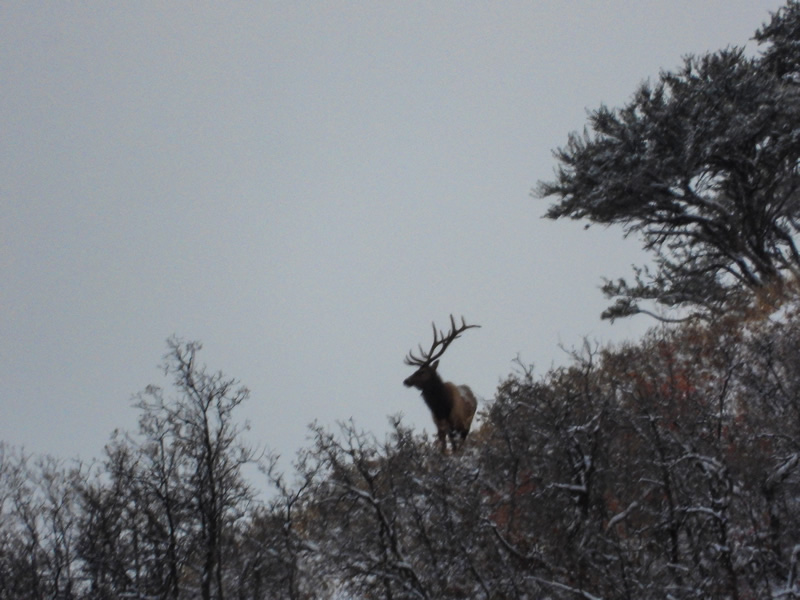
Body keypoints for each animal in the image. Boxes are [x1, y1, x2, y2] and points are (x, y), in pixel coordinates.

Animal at [403, 314, 480, 453]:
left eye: (422, 372)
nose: (406, 381)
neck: (441, 408)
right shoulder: (439, 427)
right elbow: (443, 449)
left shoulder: (456, 424)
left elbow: (454, 447)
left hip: (467, 424)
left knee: (461, 442)